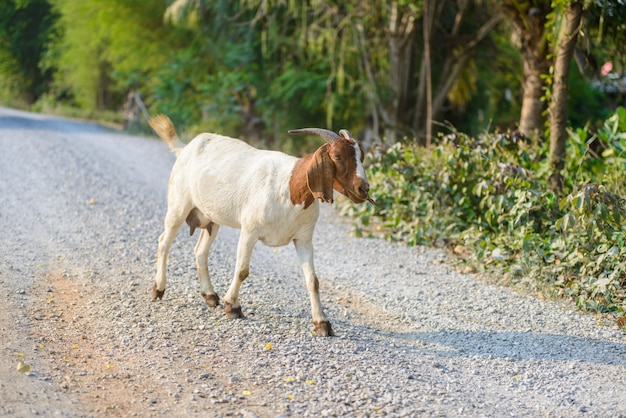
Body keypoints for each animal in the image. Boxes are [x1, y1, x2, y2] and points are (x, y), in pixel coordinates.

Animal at [147, 114, 370, 336]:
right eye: (338, 157)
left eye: (361, 157)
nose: (364, 188)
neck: (289, 187)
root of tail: (185, 148)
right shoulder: (249, 230)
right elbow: (242, 270)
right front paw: (233, 307)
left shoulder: (303, 238)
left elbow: (313, 280)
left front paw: (322, 323)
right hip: (179, 205)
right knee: (164, 242)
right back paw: (158, 288)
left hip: (212, 218)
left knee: (200, 251)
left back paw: (210, 295)